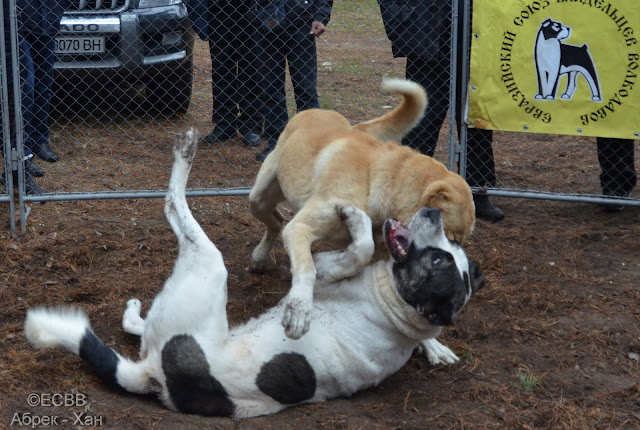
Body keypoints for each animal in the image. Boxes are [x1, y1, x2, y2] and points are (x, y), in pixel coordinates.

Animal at [24, 129, 485, 418]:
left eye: (441, 260)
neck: (399, 310)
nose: (431, 214)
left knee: (173, 203)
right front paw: (433, 347)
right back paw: (135, 308)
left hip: (208, 267)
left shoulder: (329, 268)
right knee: (139, 322)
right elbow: (363, 249)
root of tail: (154, 376)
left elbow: (359, 249)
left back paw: (185, 152)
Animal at [249, 78, 476, 339]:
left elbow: (362, 249)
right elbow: (307, 268)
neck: (376, 177)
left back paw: (259, 259)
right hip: (259, 197)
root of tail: (317, 110)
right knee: (275, 221)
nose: (458, 253)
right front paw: (299, 310)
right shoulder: (300, 227)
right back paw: (260, 256)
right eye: (451, 237)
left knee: (276, 221)